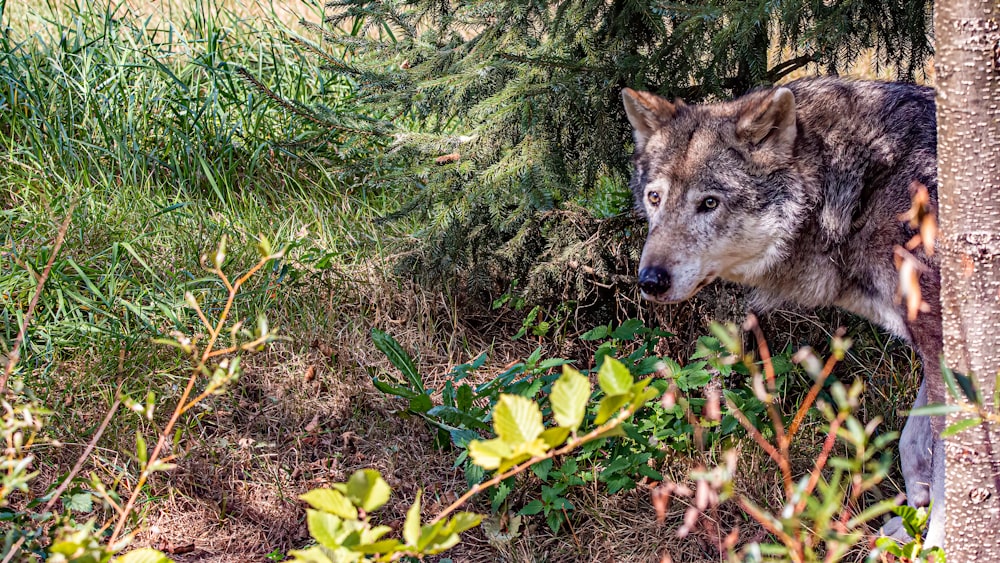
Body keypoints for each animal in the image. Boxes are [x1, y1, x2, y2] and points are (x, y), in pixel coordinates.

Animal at [624, 77, 944, 544]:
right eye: (654, 198)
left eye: (709, 203)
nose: (650, 280)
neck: (861, 192)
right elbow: (914, 440)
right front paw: (908, 523)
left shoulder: (942, 341)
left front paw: (938, 541)